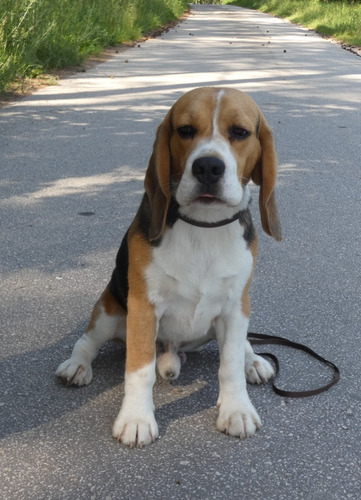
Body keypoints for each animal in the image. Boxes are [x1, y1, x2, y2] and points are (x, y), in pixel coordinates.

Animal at [56, 87, 282, 450]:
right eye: (185, 130)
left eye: (240, 132)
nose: (208, 166)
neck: (204, 226)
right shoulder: (144, 308)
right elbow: (139, 369)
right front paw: (136, 419)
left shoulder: (236, 306)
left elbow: (230, 364)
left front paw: (236, 409)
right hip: (110, 311)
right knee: (87, 341)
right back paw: (77, 366)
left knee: (241, 345)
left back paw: (253, 360)